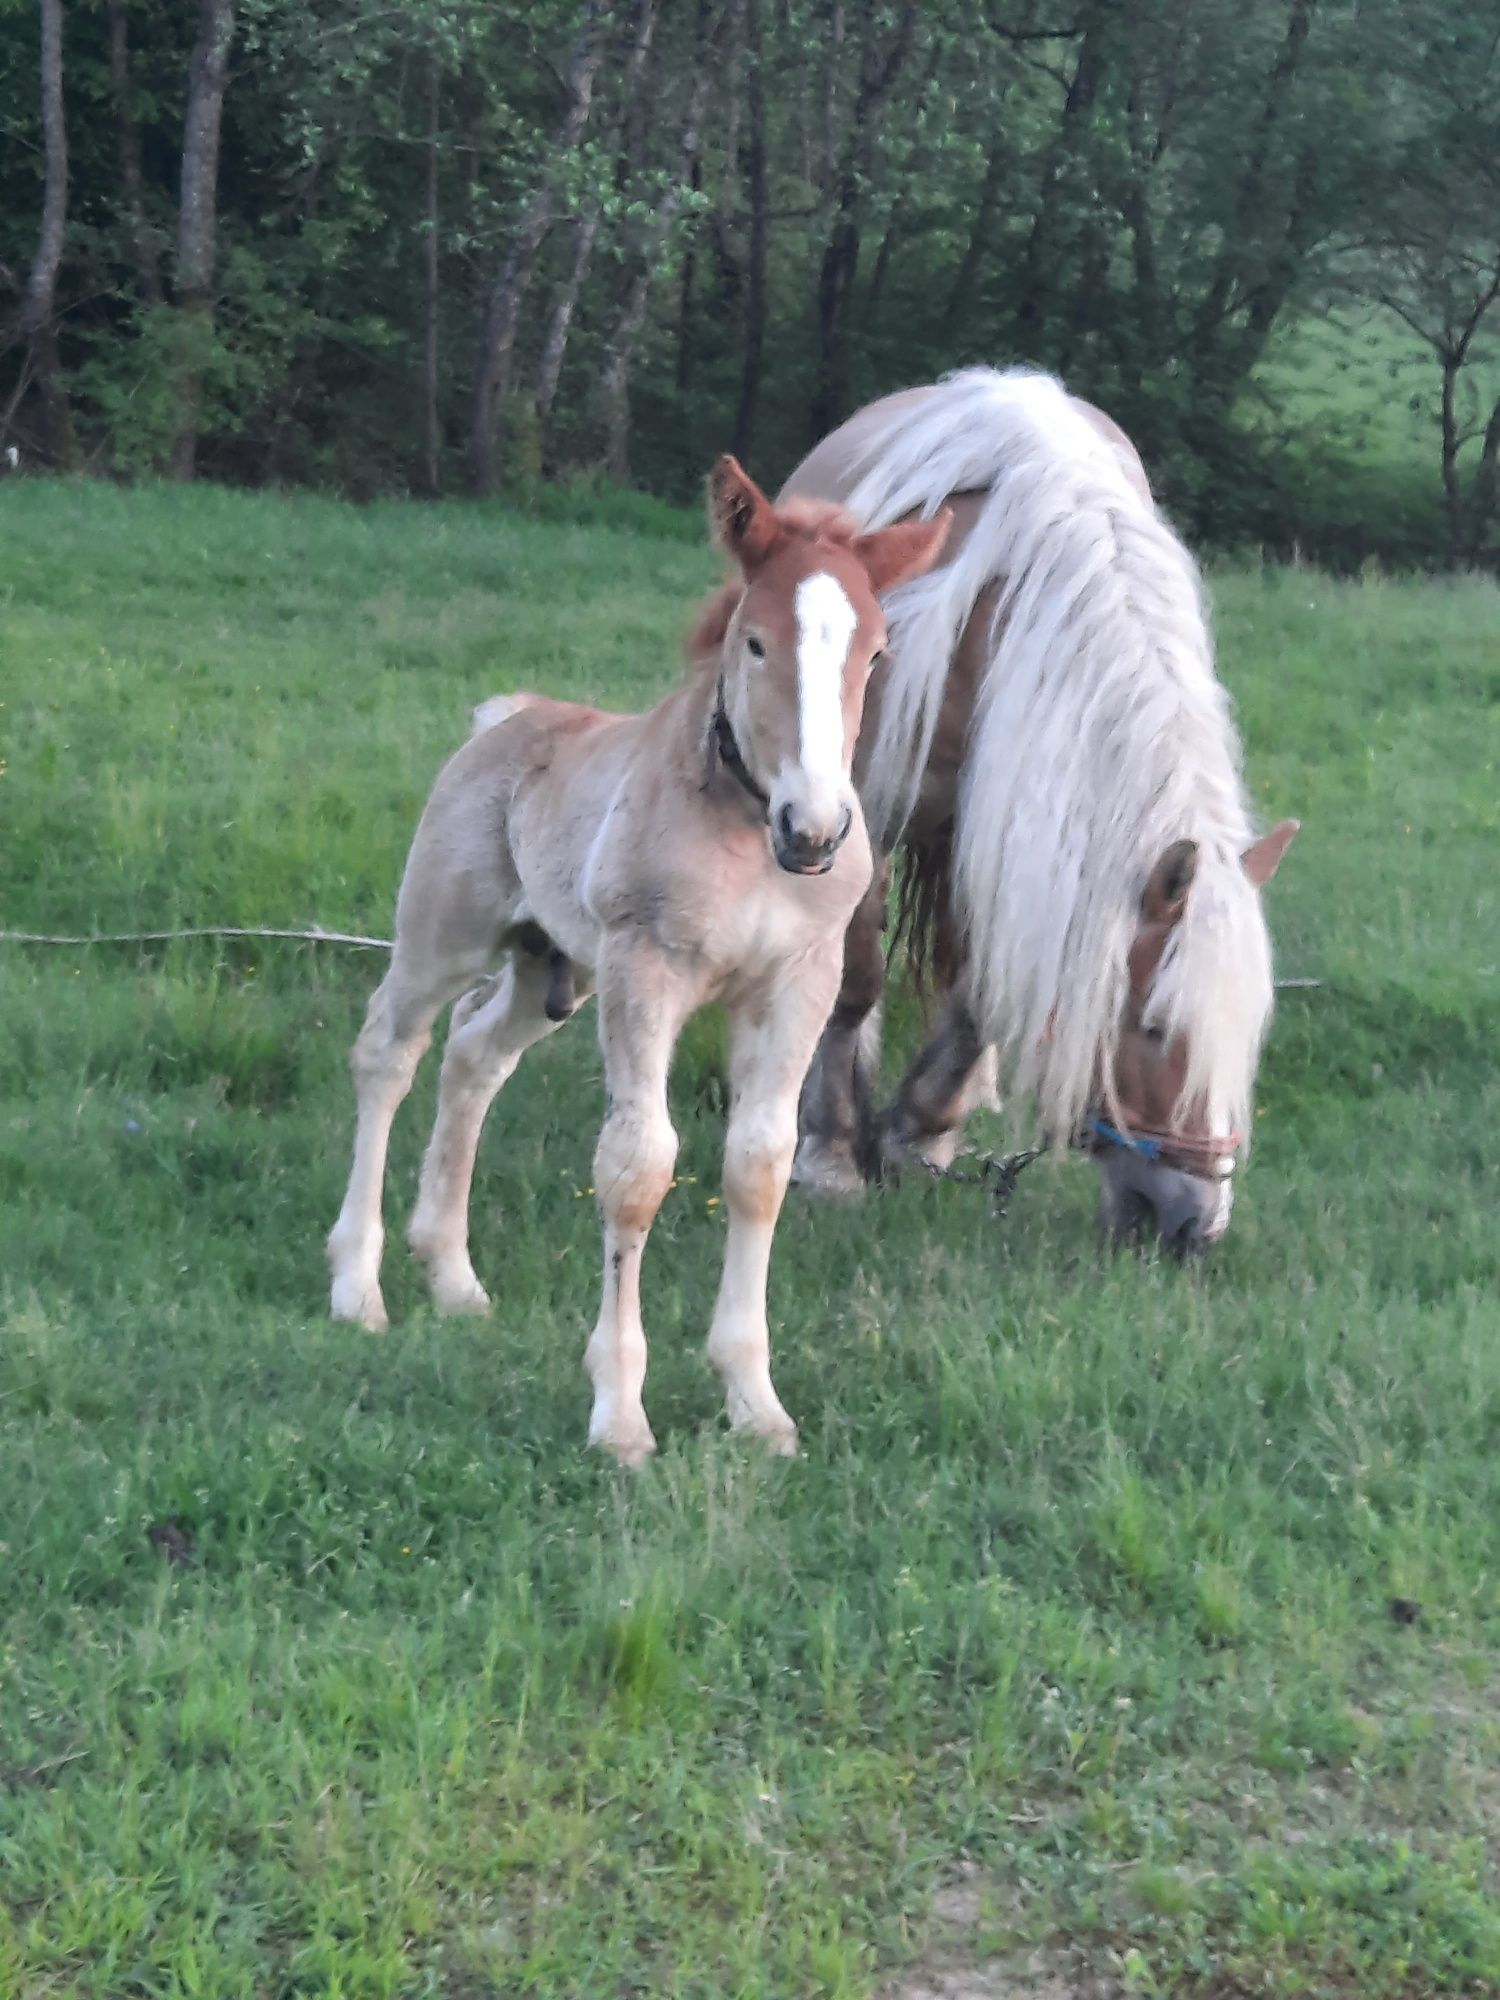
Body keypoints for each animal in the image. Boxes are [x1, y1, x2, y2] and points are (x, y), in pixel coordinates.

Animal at [328, 460, 952, 1464]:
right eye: (755, 644)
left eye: (876, 654)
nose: (815, 832)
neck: (748, 833)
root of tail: (507, 718)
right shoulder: (646, 966)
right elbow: (637, 1167)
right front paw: (620, 1415)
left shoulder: (797, 984)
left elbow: (759, 1164)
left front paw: (756, 1404)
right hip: (446, 933)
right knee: (390, 1050)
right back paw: (358, 1285)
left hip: (553, 970)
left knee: (474, 1057)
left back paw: (453, 1275)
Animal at [788, 370, 1304, 1248]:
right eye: (1154, 1026)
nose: (1192, 1229)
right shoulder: (865, 813)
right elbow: (854, 979)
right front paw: (829, 1155)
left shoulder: (1006, 834)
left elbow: (982, 995)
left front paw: (917, 1136)